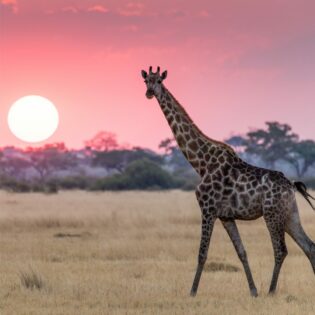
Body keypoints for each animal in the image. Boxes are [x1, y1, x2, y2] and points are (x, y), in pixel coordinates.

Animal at [142, 65, 315, 298]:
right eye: (146, 81)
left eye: (159, 80)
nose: (149, 93)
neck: (201, 162)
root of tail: (291, 185)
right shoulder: (226, 216)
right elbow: (242, 251)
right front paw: (253, 291)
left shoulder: (208, 209)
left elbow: (202, 253)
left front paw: (192, 292)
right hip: (289, 214)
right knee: (309, 246)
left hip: (272, 213)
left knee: (281, 250)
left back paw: (271, 291)